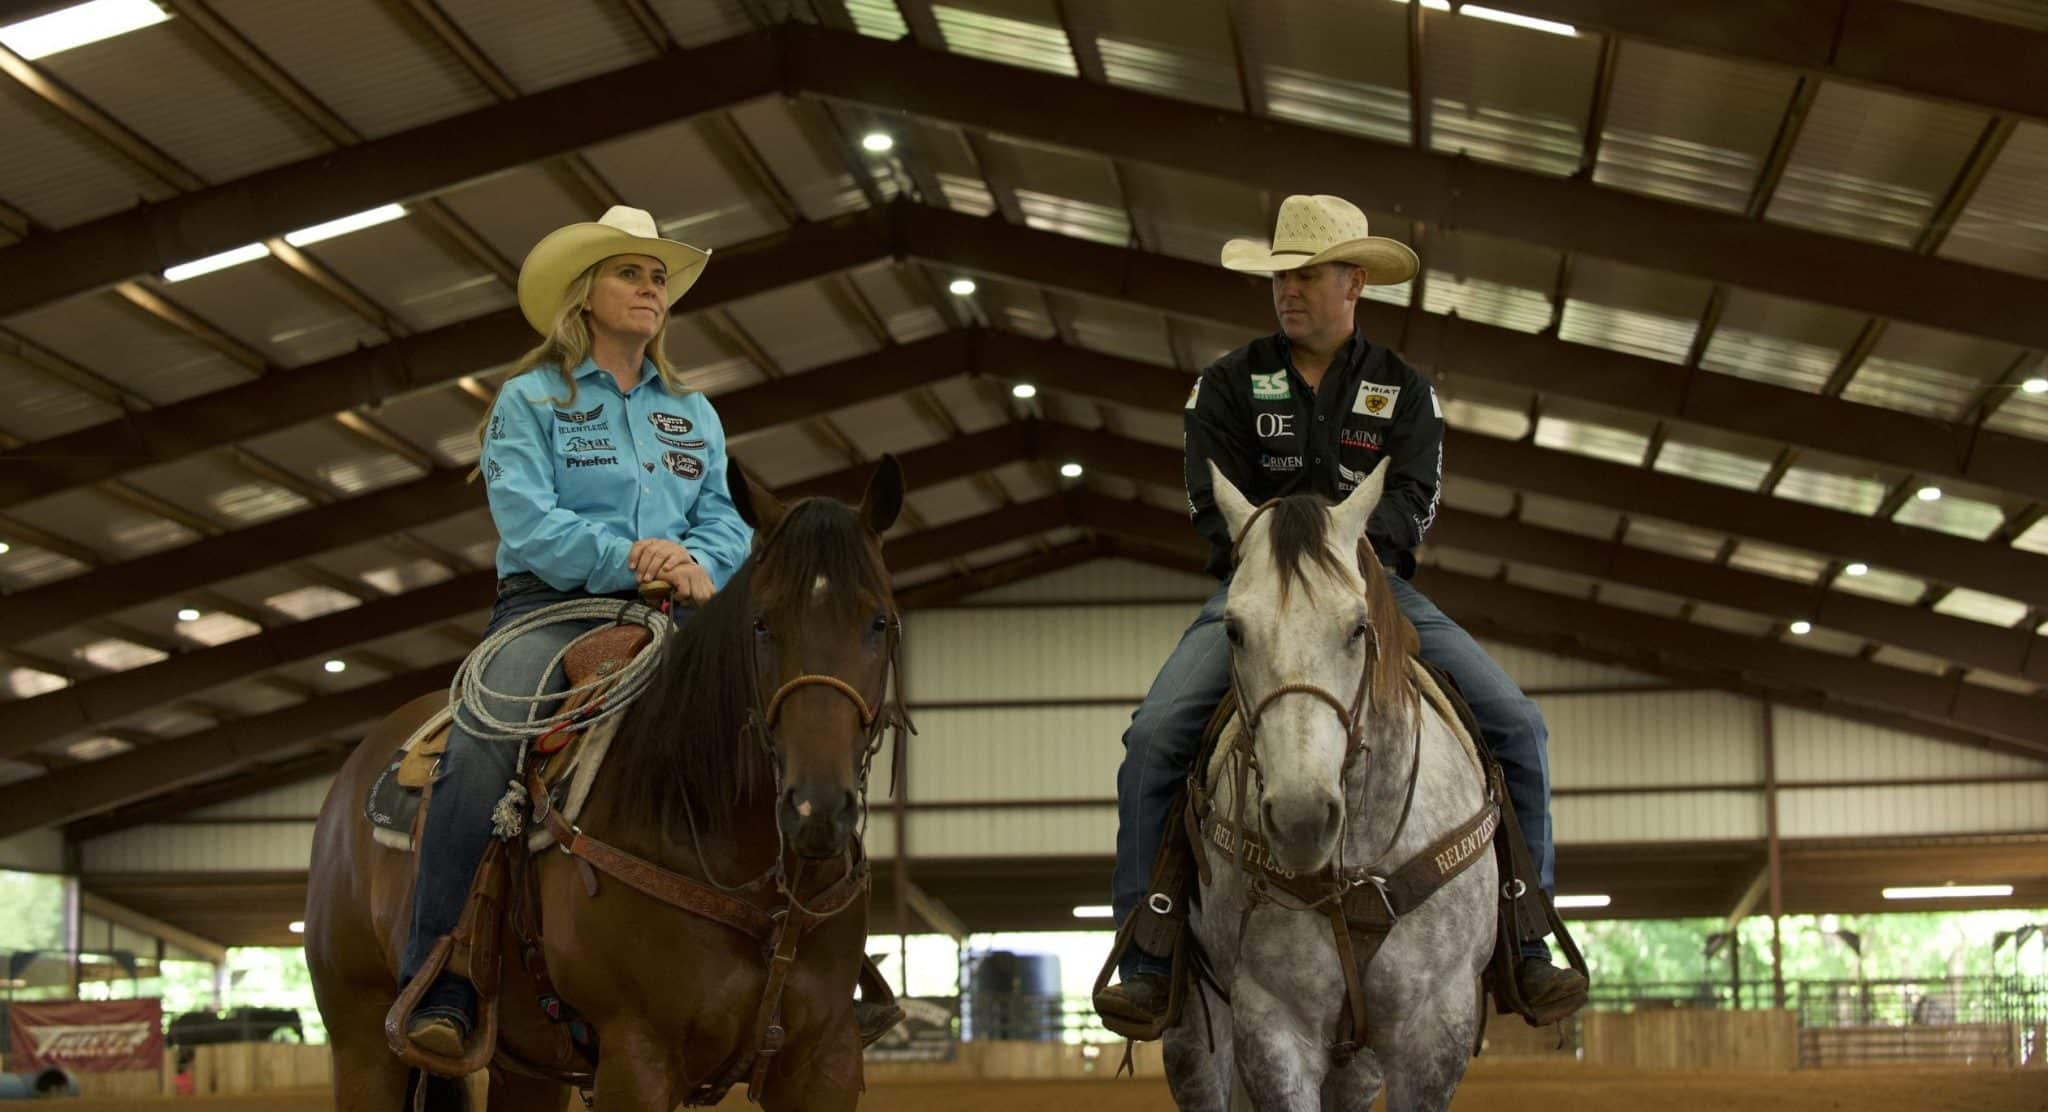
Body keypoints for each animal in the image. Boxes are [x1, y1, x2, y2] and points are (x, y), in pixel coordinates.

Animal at [301, 456, 905, 1105]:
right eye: (762, 625)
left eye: (880, 622)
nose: (817, 810)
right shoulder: (637, 1059)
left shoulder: (824, 1062)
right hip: (362, 1042)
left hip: (526, 1066)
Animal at [1163, 460, 1499, 1112]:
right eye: (1233, 631)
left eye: (1358, 627)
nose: (1301, 818)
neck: (1360, 865)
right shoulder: (1271, 1024)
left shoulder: (1437, 1031)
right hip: (1193, 1026)